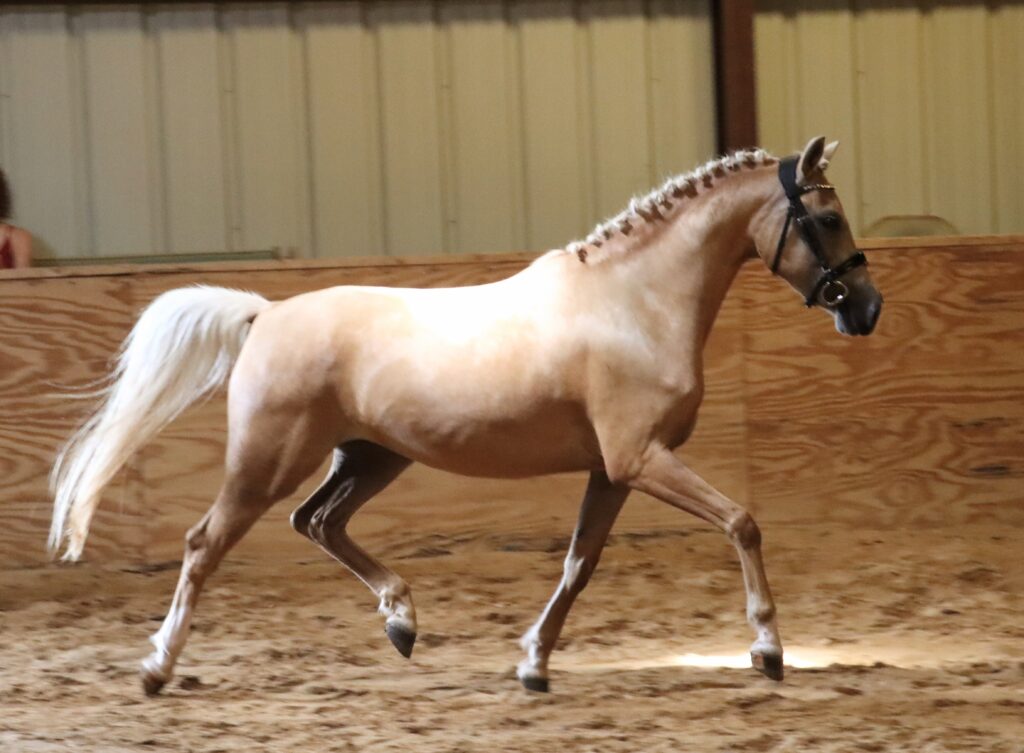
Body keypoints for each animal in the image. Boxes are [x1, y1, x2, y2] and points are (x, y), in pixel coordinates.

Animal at [49, 136, 882, 696]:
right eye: (828, 217)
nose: (867, 309)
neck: (635, 301)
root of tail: (265, 313)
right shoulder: (642, 457)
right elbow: (742, 521)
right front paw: (768, 649)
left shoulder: (613, 470)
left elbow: (579, 564)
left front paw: (534, 663)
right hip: (268, 461)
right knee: (205, 543)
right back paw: (157, 666)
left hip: (370, 456)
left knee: (318, 522)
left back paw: (402, 620)